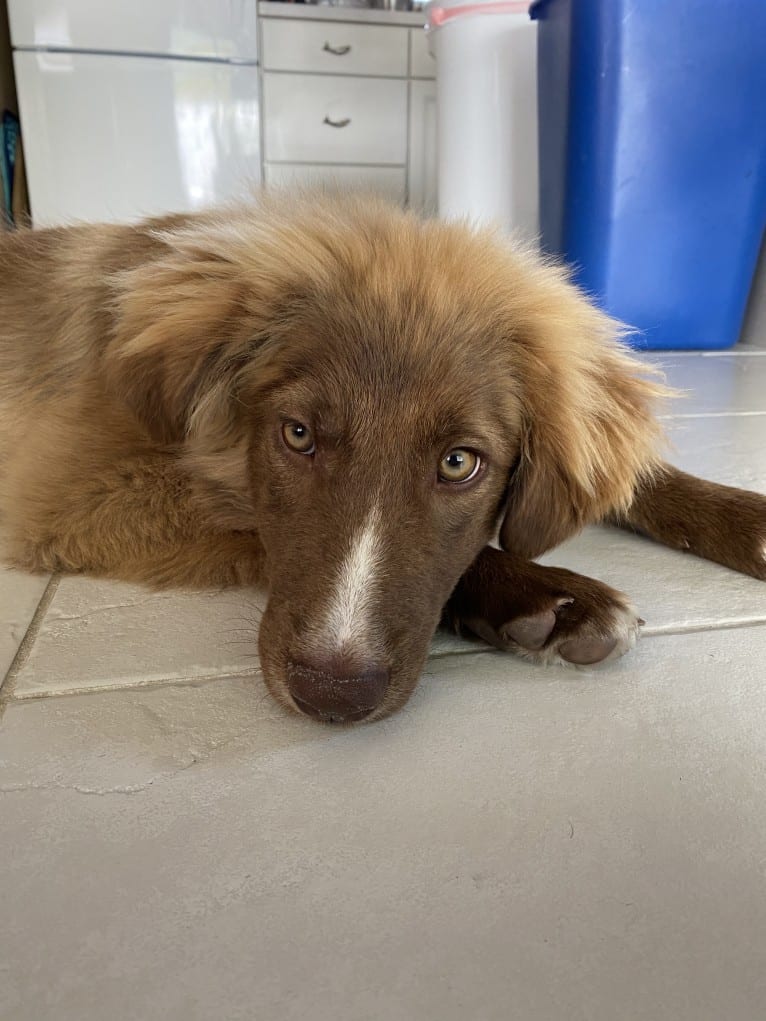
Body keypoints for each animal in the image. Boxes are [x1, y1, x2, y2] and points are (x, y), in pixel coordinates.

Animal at [0, 189, 763, 718]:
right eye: (297, 434)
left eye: (460, 462)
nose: (332, 697)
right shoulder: (72, 492)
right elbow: (251, 522)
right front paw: (548, 595)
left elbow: (643, 478)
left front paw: (747, 520)